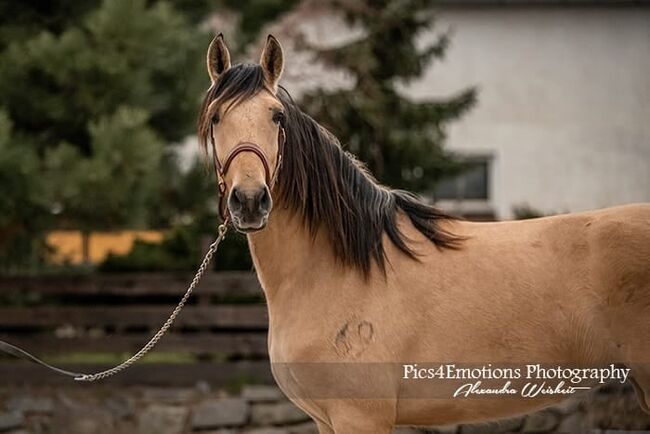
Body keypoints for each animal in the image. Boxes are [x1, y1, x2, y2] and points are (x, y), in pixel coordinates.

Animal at [196, 34, 648, 434]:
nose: (250, 200)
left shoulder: (361, 418)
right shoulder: (327, 420)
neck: (337, 269)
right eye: (216, 117)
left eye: (276, 116)